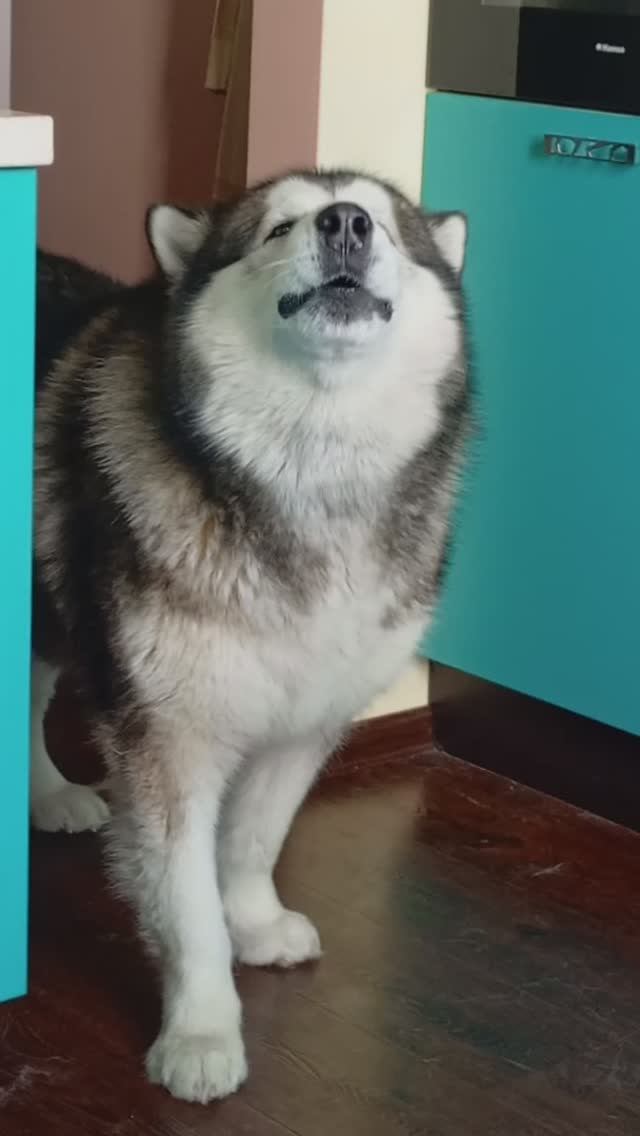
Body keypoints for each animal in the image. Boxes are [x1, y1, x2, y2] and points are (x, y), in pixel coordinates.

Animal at [32, 170, 470, 1103]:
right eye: (276, 227)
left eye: (384, 223)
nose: (346, 224)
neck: (309, 467)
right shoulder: (168, 737)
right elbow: (185, 900)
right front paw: (200, 1031)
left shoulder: (308, 716)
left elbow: (255, 836)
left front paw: (255, 921)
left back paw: (47, 793)